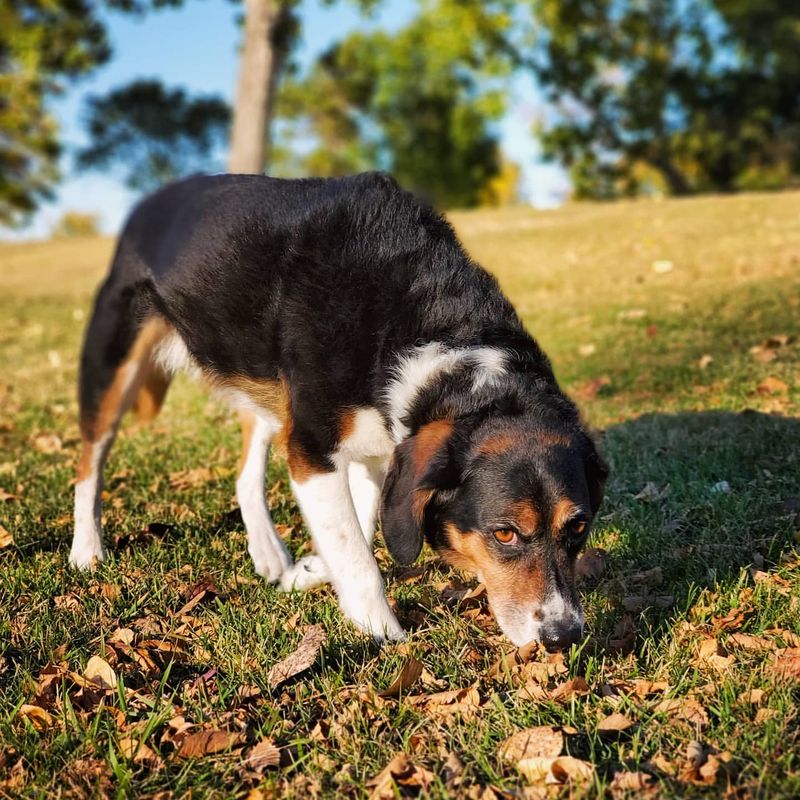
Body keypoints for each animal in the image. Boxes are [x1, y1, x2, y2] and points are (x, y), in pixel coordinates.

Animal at [72, 172, 608, 648]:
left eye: (578, 527)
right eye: (505, 533)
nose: (563, 637)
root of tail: (155, 198)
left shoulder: (380, 450)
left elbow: (359, 525)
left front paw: (310, 569)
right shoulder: (312, 449)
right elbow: (357, 554)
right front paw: (382, 633)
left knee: (246, 468)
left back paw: (269, 551)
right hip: (114, 362)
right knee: (89, 461)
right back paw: (86, 550)